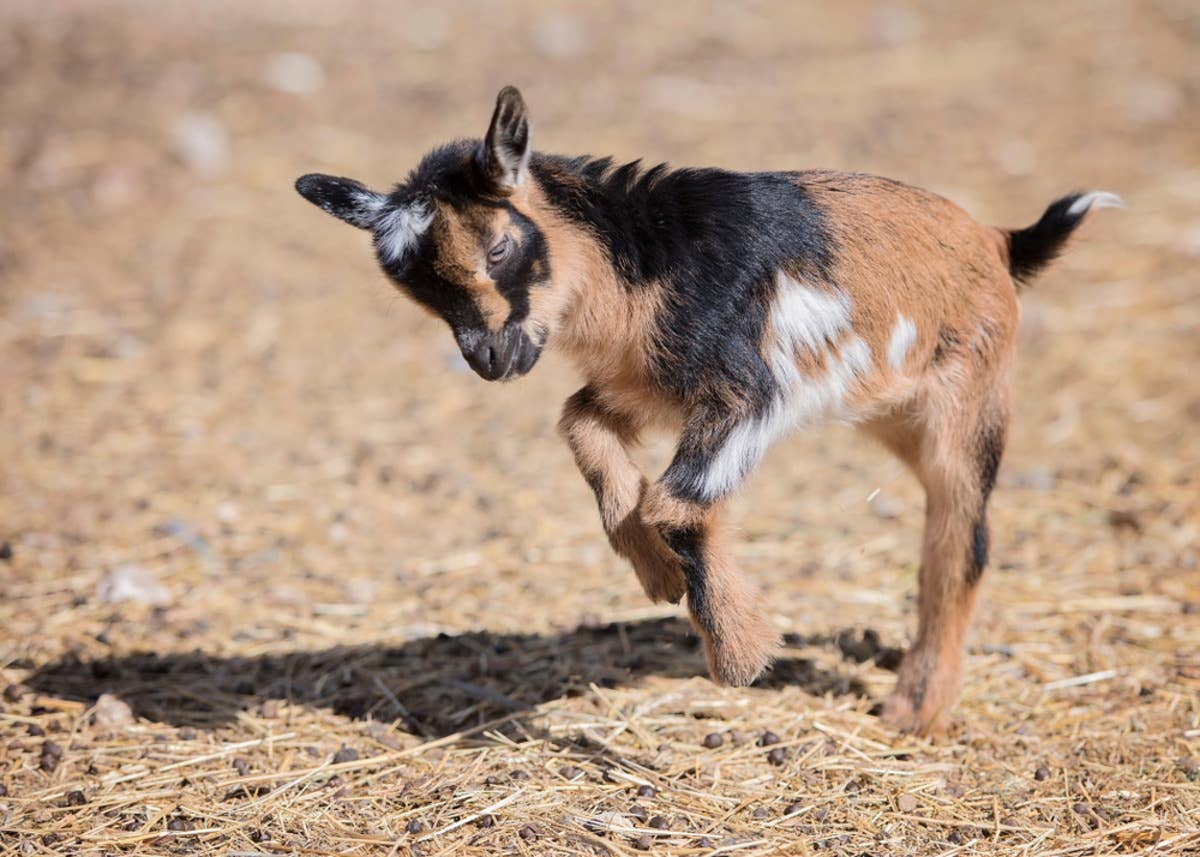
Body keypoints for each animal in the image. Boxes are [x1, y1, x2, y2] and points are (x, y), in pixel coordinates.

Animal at [295, 86, 1119, 734]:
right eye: (417, 290)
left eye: (498, 249)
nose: (489, 360)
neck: (646, 259)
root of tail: (1001, 243)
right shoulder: (643, 388)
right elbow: (580, 426)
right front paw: (657, 575)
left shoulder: (750, 395)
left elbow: (676, 503)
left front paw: (740, 651)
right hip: (896, 413)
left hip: (968, 402)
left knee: (962, 536)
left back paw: (914, 711)